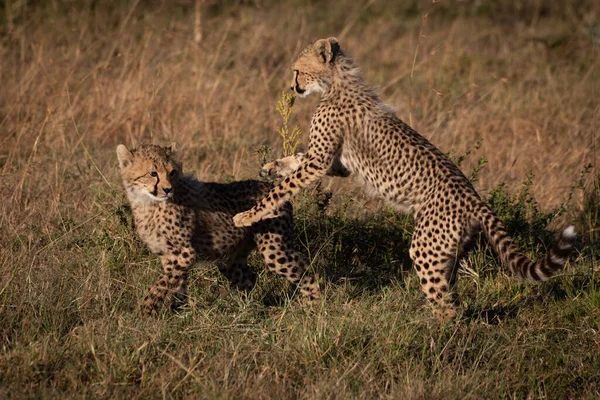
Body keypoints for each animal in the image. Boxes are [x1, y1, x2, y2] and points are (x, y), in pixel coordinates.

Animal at [113, 144, 318, 316]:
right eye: (152, 173)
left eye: (172, 172)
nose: (167, 189)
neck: (147, 203)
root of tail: (271, 187)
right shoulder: (168, 256)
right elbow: (175, 284)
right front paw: (177, 311)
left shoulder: (185, 253)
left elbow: (161, 284)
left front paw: (144, 311)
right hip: (229, 257)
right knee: (248, 278)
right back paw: (244, 310)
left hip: (273, 249)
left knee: (305, 269)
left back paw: (312, 306)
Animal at [232, 37, 576, 318]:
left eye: (297, 71)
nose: (293, 88)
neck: (337, 82)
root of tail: (474, 197)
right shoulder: (337, 163)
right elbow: (296, 160)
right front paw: (271, 167)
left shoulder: (322, 160)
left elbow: (283, 188)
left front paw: (248, 214)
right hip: (449, 252)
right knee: (452, 297)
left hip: (425, 247)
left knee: (447, 307)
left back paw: (435, 341)